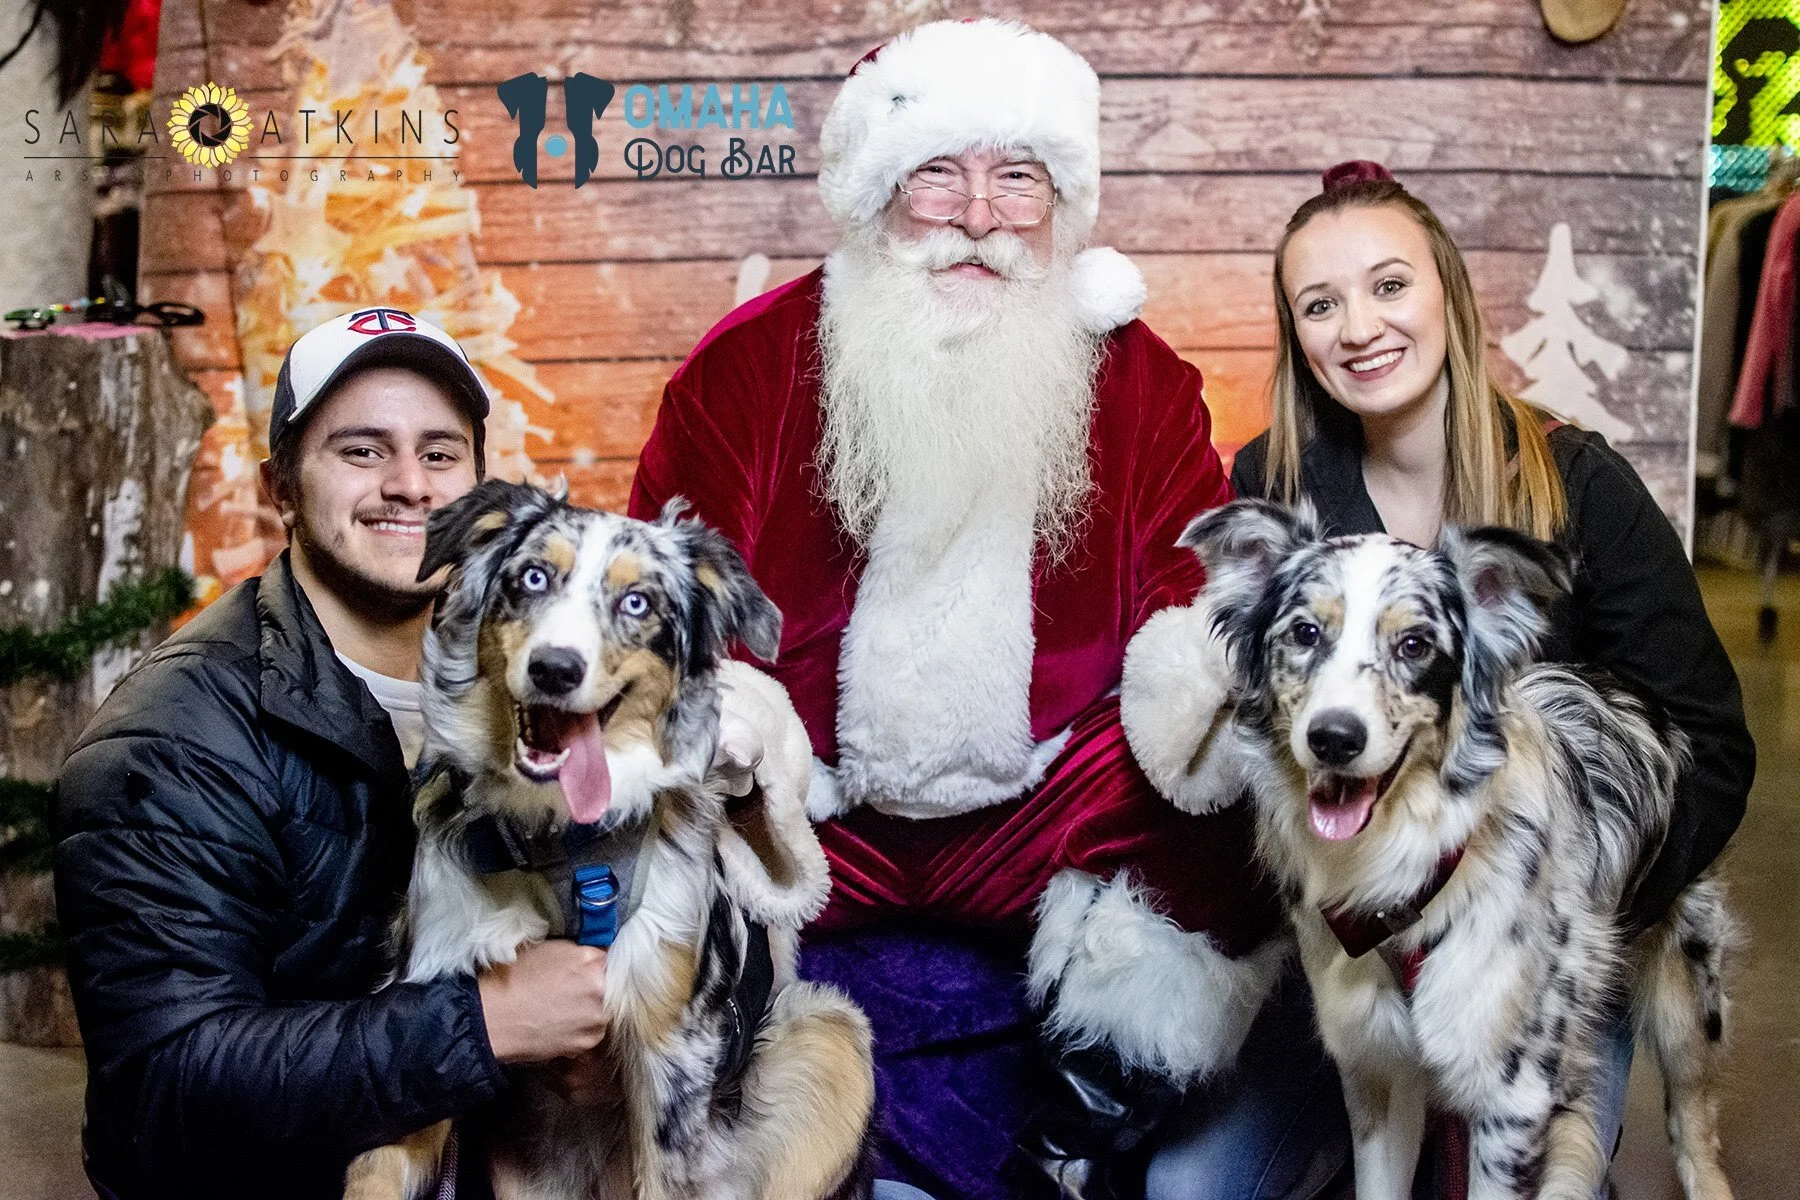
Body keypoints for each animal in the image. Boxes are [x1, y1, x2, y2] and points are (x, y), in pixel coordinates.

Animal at [342, 480, 875, 1200]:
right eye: (533, 577)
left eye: (637, 602)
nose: (555, 669)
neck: (561, 841)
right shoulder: (434, 991)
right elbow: (378, 1162)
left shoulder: (670, 1045)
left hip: (828, 1033)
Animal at [1120, 499, 1735, 1200]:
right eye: (1304, 633)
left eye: (1414, 645)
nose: (1334, 738)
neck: (1398, 874)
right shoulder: (1378, 1073)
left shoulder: (1514, 1103)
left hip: (1688, 1003)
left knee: (1695, 1126)